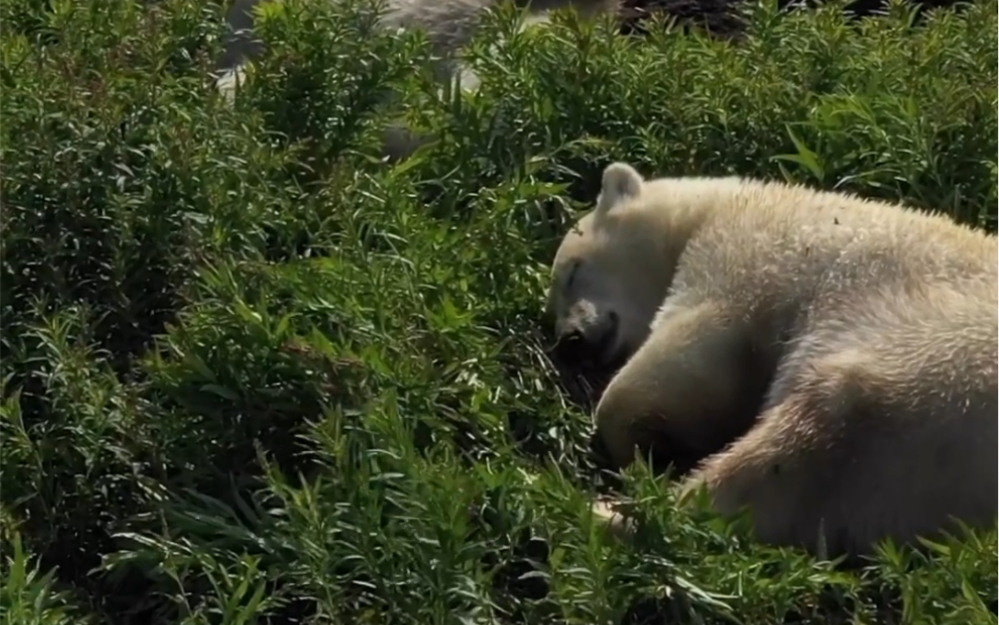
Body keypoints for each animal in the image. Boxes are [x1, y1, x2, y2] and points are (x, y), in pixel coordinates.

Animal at [548, 161, 999, 556]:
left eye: (572, 271)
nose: (569, 340)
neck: (716, 204)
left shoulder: (741, 251)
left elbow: (695, 344)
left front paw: (642, 444)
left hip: (933, 375)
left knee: (798, 446)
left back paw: (608, 512)